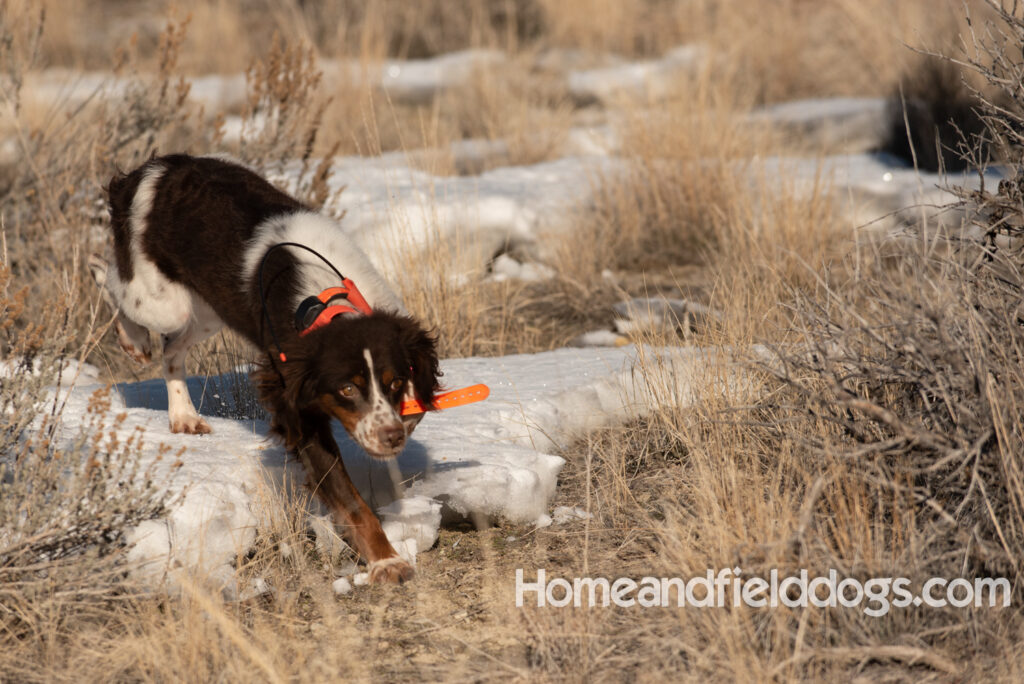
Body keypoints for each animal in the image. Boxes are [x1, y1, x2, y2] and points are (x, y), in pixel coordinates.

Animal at [90, 153, 438, 581]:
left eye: (394, 382)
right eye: (346, 389)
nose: (390, 438)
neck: (330, 300)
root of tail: (154, 168)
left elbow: (412, 410)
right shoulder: (295, 403)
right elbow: (348, 495)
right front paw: (386, 561)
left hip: (208, 310)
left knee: (172, 350)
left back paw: (184, 416)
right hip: (160, 301)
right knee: (107, 277)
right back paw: (134, 340)